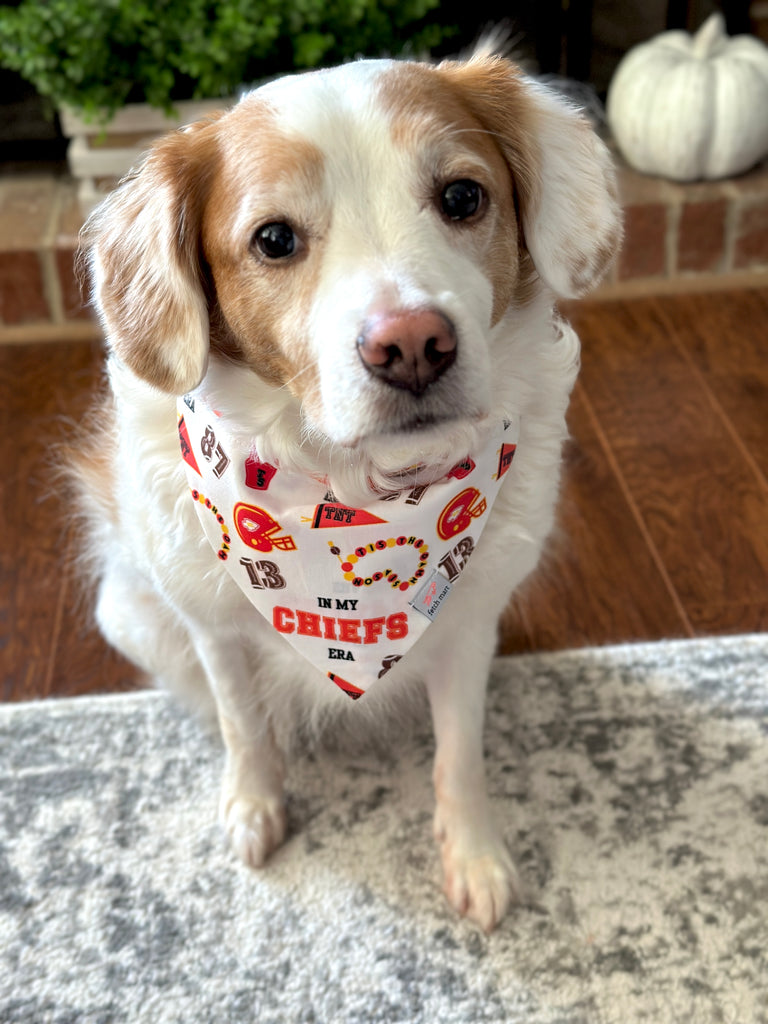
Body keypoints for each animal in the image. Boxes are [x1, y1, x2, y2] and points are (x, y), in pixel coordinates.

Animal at [72, 48, 622, 933]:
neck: (352, 490)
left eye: (462, 196)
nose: (413, 345)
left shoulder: (469, 624)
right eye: (273, 239)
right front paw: (253, 805)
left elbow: (460, 753)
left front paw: (474, 854)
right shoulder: (213, 626)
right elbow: (242, 724)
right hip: (132, 616)